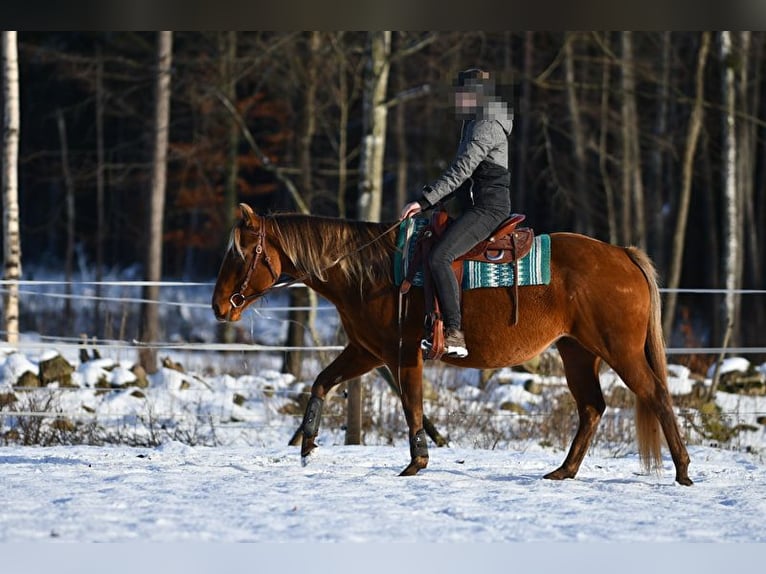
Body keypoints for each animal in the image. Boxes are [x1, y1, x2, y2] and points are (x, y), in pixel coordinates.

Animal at [212, 203, 692, 485]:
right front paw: (308, 444)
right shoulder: (366, 352)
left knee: (656, 395)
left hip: (619, 351)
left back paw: (683, 471)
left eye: (240, 253)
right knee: (592, 407)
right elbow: (322, 382)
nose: (218, 306)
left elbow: (413, 406)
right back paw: (564, 471)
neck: (374, 271)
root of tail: (622, 254)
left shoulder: (403, 355)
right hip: (577, 351)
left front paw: (416, 463)